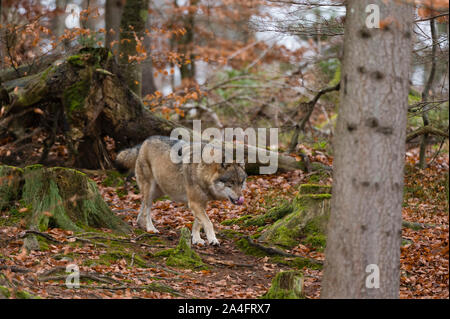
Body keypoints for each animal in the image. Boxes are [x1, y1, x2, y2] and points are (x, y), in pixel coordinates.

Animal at [114, 136, 244, 246]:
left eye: (241, 183)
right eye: (231, 183)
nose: (240, 198)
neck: (201, 171)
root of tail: (144, 142)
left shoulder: (201, 203)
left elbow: (198, 223)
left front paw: (196, 239)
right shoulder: (194, 203)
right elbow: (208, 223)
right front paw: (213, 239)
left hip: (159, 192)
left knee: (143, 205)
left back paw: (141, 224)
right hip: (151, 189)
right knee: (147, 209)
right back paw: (150, 228)